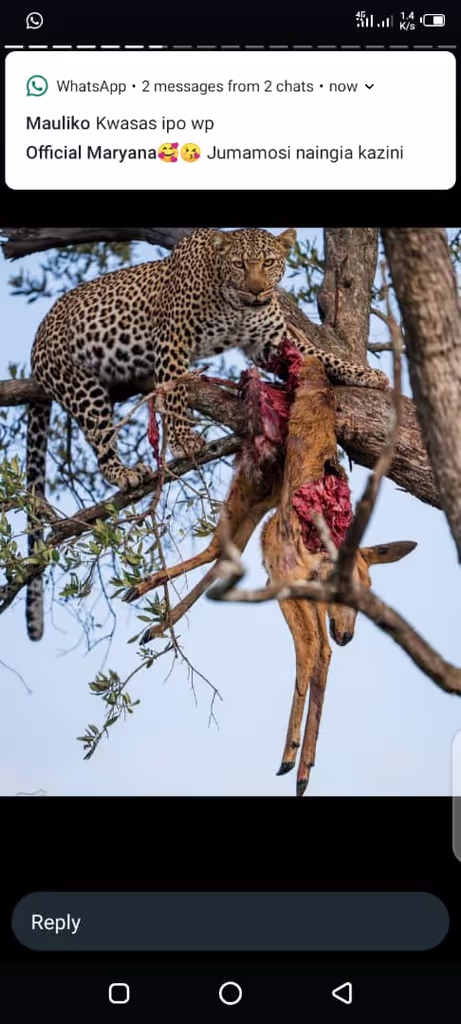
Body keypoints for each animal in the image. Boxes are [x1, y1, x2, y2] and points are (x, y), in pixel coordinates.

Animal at [26, 227, 388, 640]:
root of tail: (37, 340)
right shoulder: (173, 341)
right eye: (239, 264)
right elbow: (174, 392)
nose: (257, 292)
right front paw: (184, 441)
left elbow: (318, 355)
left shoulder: (272, 341)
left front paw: (364, 374)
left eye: (269, 262)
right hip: (80, 385)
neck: (236, 305)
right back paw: (124, 472)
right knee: (100, 440)